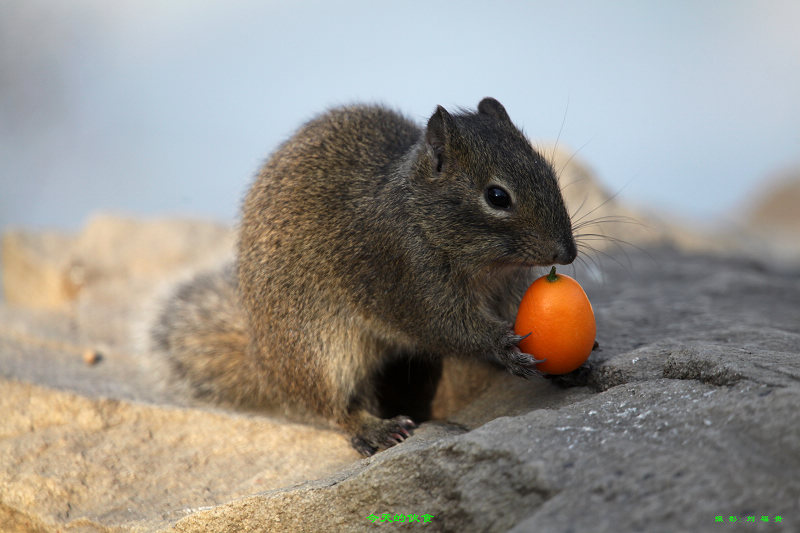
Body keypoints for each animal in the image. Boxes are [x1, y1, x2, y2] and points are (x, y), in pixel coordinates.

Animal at [148, 97, 576, 456]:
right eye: (497, 197)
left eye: (549, 171)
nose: (568, 254)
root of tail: (264, 361)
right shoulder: (409, 280)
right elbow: (451, 328)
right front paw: (503, 347)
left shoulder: (506, 288)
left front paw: (574, 366)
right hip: (320, 349)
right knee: (335, 406)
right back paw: (376, 429)